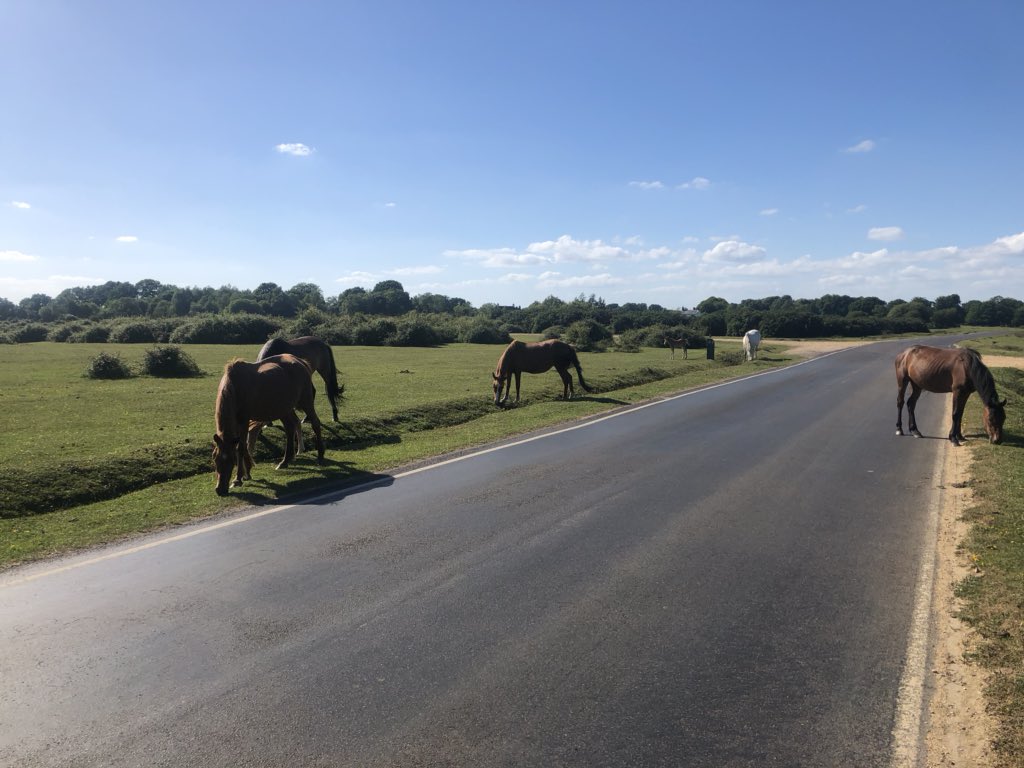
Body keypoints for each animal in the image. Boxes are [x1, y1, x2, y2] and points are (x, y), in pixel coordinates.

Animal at [213, 354, 325, 496]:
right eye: (215, 459)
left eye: (231, 461)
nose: (220, 490)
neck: (235, 388)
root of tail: (300, 361)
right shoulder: (238, 423)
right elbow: (244, 446)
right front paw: (247, 472)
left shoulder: (243, 420)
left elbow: (241, 448)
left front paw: (238, 479)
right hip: (284, 409)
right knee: (290, 428)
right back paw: (285, 461)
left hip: (306, 402)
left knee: (315, 423)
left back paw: (320, 455)